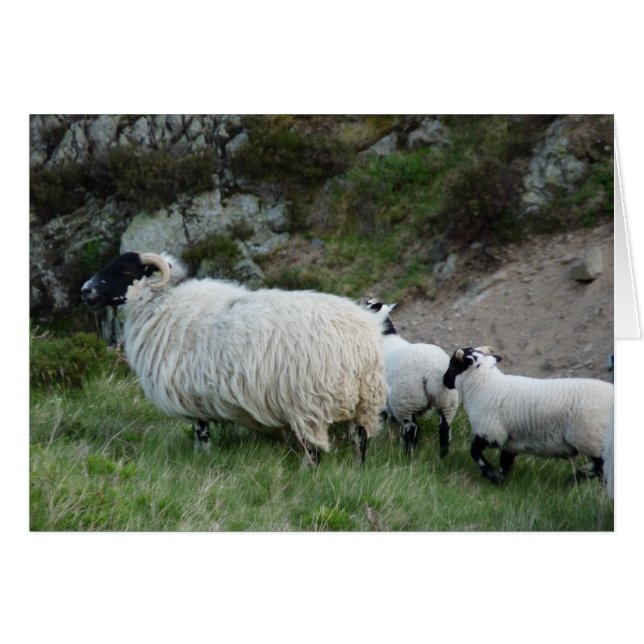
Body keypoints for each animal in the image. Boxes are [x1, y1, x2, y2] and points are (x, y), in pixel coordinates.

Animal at [81, 251, 387, 466]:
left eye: (125, 269)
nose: (85, 291)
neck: (162, 303)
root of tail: (363, 337)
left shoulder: (191, 396)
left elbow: (201, 432)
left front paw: (201, 457)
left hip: (309, 401)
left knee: (314, 448)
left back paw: (306, 471)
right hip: (363, 402)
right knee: (360, 441)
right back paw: (357, 472)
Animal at [365, 300, 459, 457]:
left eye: (365, 303)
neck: (384, 337)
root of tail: (431, 373)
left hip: (405, 400)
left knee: (412, 428)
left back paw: (407, 454)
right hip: (447, 401)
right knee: (445, 428)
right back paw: (443, 455)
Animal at [442, 346, 614, 485]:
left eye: (453, 365)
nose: (444, 381)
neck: (483, 385)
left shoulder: (492, 432)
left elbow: (474, 452)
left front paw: (491, 475)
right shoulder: (510, 443)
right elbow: (505, 464)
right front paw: (500, 481)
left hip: (592, 437)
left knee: (600, 466)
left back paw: (575, 478)